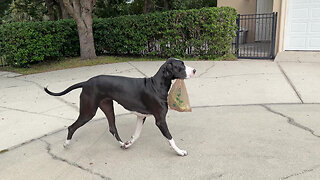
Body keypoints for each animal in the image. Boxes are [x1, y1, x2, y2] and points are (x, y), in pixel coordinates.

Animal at [44, 58, 195, 156]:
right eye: (181, 65)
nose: (194, 70)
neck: (156, 85)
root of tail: (86, 82)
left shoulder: (141, 116)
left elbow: (136, 134)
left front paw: (129, 143)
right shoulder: (160, 120)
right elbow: (170, 138)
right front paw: (180, 151)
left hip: (107, 107)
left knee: (112, 128)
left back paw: (122, 144)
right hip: (88, 112)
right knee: (72, 127)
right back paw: (66, 144)